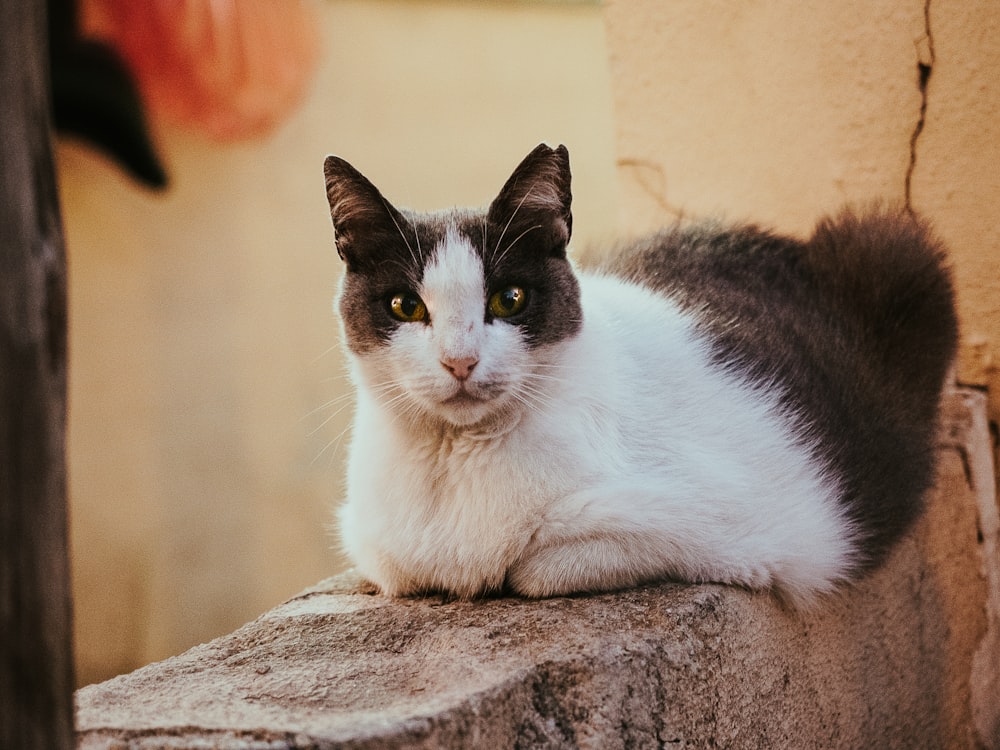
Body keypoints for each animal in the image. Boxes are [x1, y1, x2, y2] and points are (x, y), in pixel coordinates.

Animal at [324, 142, 956, 612]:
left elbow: (538, 566)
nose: (460, 360)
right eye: (405, 307)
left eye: (510, 298)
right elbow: (401, 567)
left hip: (894, 249)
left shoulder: (745, 526)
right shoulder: (376, 543)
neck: (453, 460)